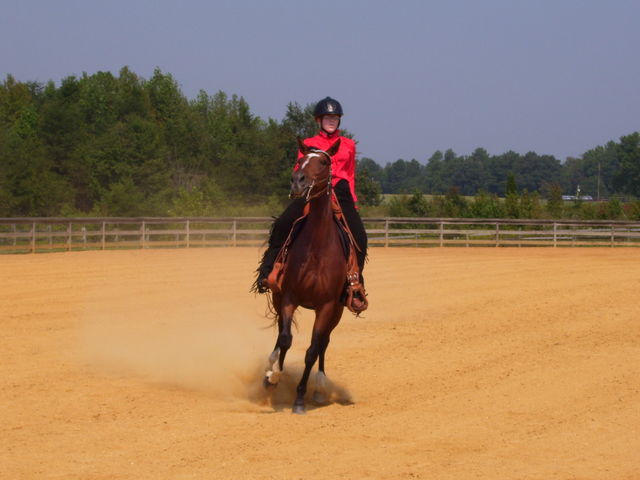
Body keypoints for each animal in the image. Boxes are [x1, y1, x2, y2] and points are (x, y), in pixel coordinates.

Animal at [264, 138, 356, 412]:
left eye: (324, 161)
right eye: (301, 159)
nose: (297, 181)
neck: (317, 249)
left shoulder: (327, 305)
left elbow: (313, 350)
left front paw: (299, 398)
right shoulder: (289, 297)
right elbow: (285, 339)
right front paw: (274, 375)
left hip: (336, 311)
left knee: (324, 342)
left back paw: (319, 388)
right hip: (278, 297)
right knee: (280, 334)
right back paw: (270, 367)